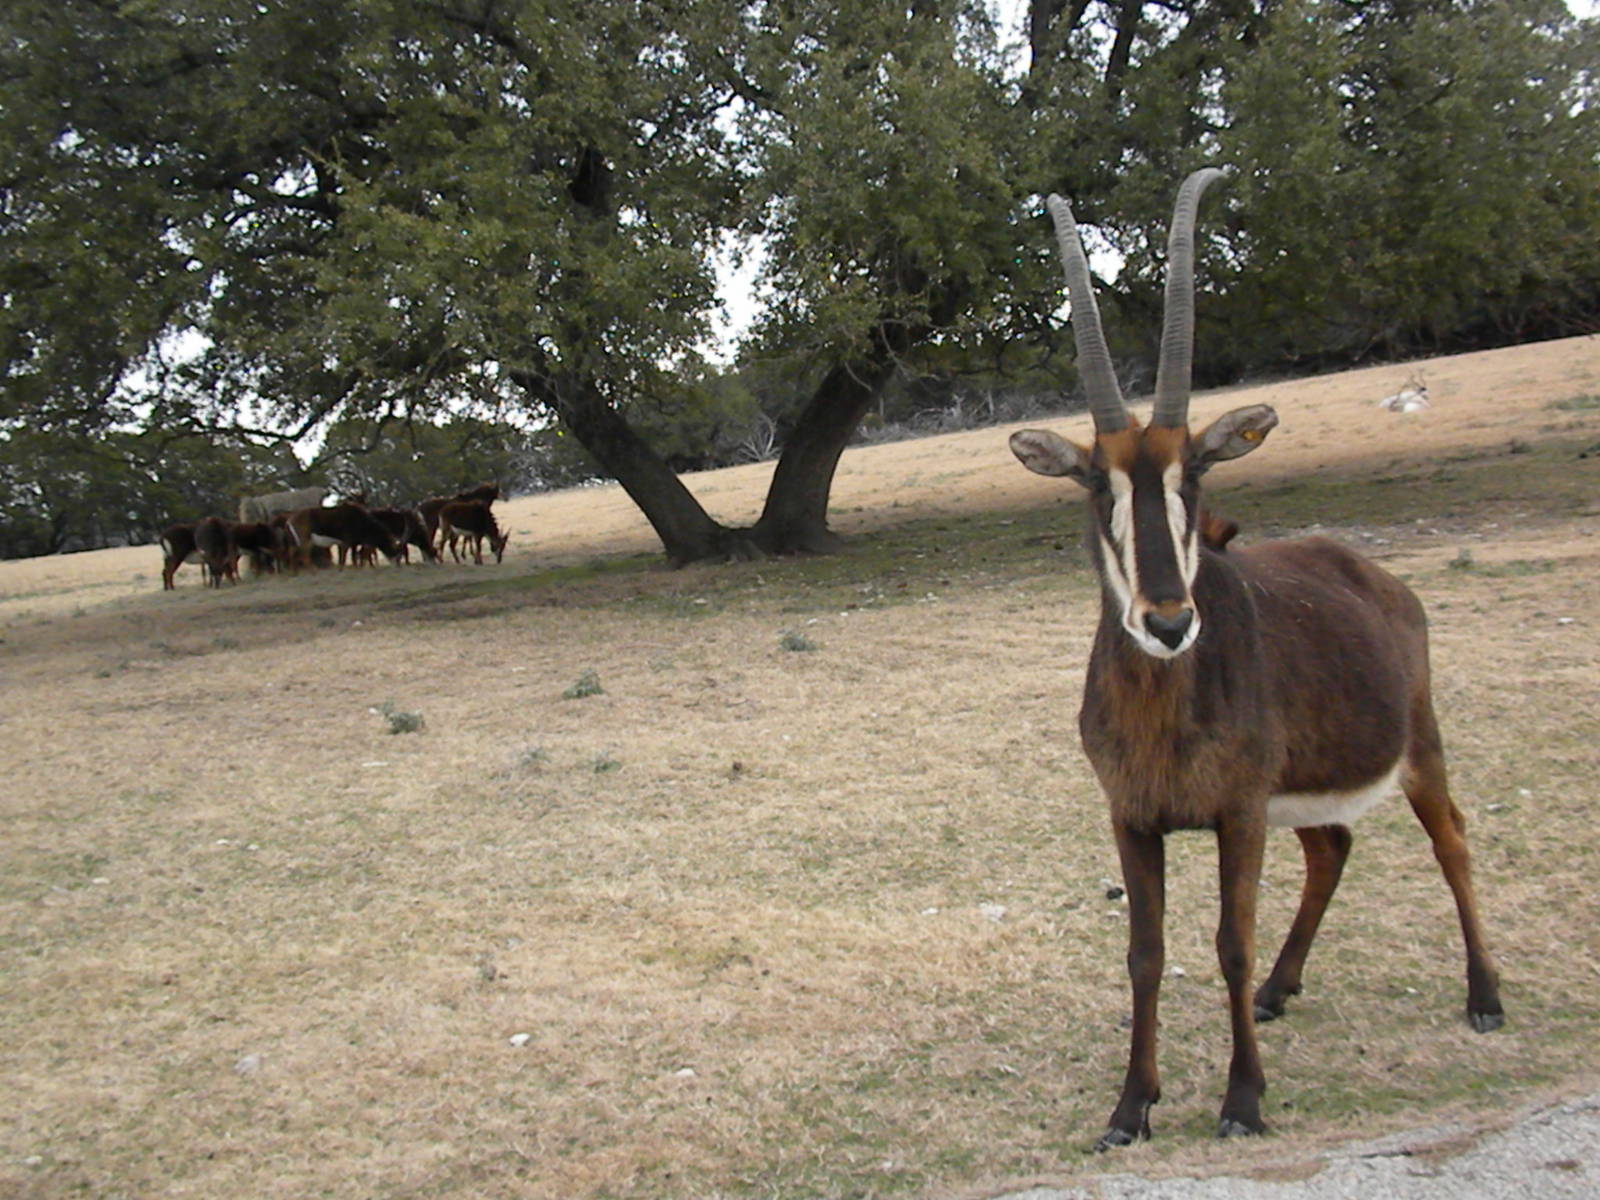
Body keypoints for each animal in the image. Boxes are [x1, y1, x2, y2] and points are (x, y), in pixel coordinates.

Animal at [1009, 169, 1503, 1151]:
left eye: (1194, 473)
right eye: (1096, 484)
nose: (1167, 622)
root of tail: (1374, 576)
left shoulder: (1237, 815)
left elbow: (1227, 944)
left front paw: (1242, 1100)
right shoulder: (1134, 819)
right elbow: (1146, 952)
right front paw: (1130, 1106)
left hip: (1418, 749)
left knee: (1453, 841)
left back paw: (1484, 997)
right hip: (1298, 791)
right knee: (1334, 845)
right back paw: (1283, 988)